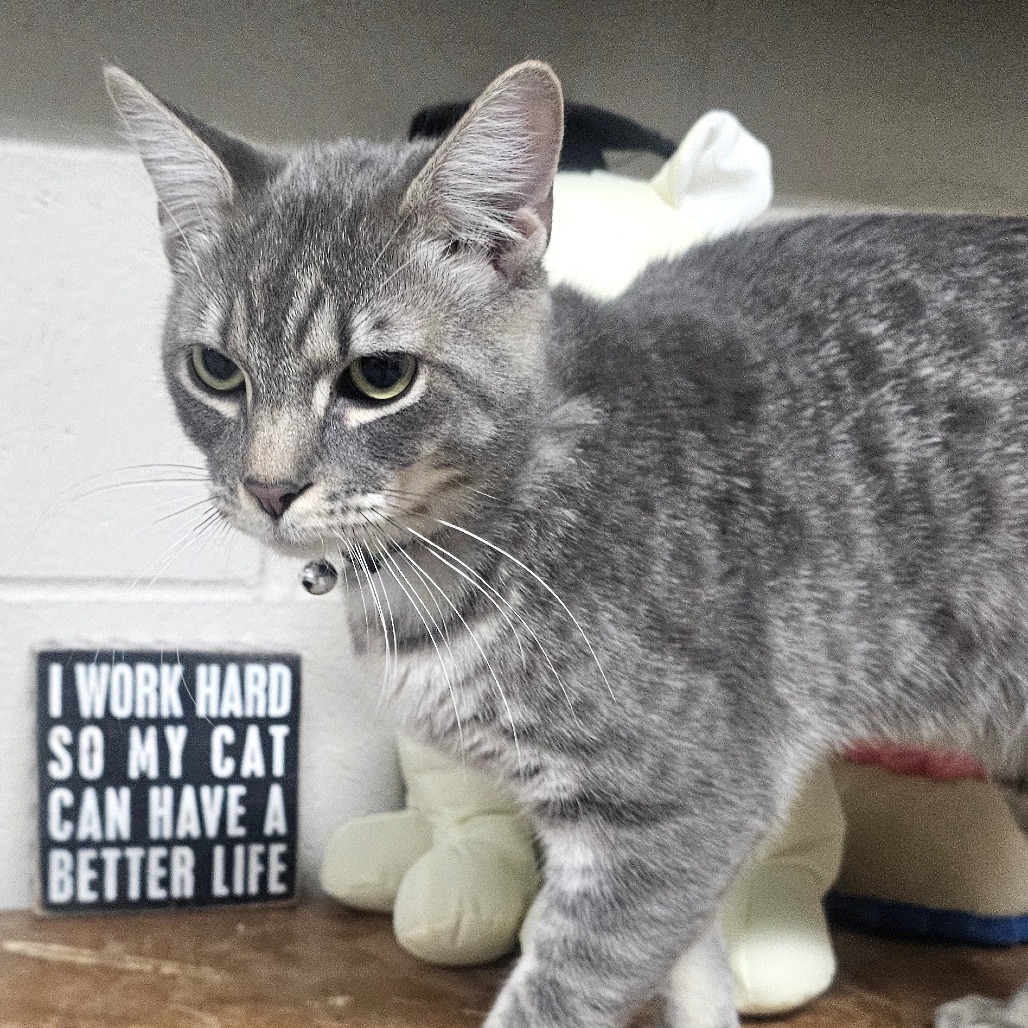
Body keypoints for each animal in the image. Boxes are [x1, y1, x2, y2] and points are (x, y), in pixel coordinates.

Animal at [104, 64, 1028, 1028]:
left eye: (380, 378)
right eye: (215, 369)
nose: (268, 489)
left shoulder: (687, 804)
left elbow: (564, 989)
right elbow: (694, 971)